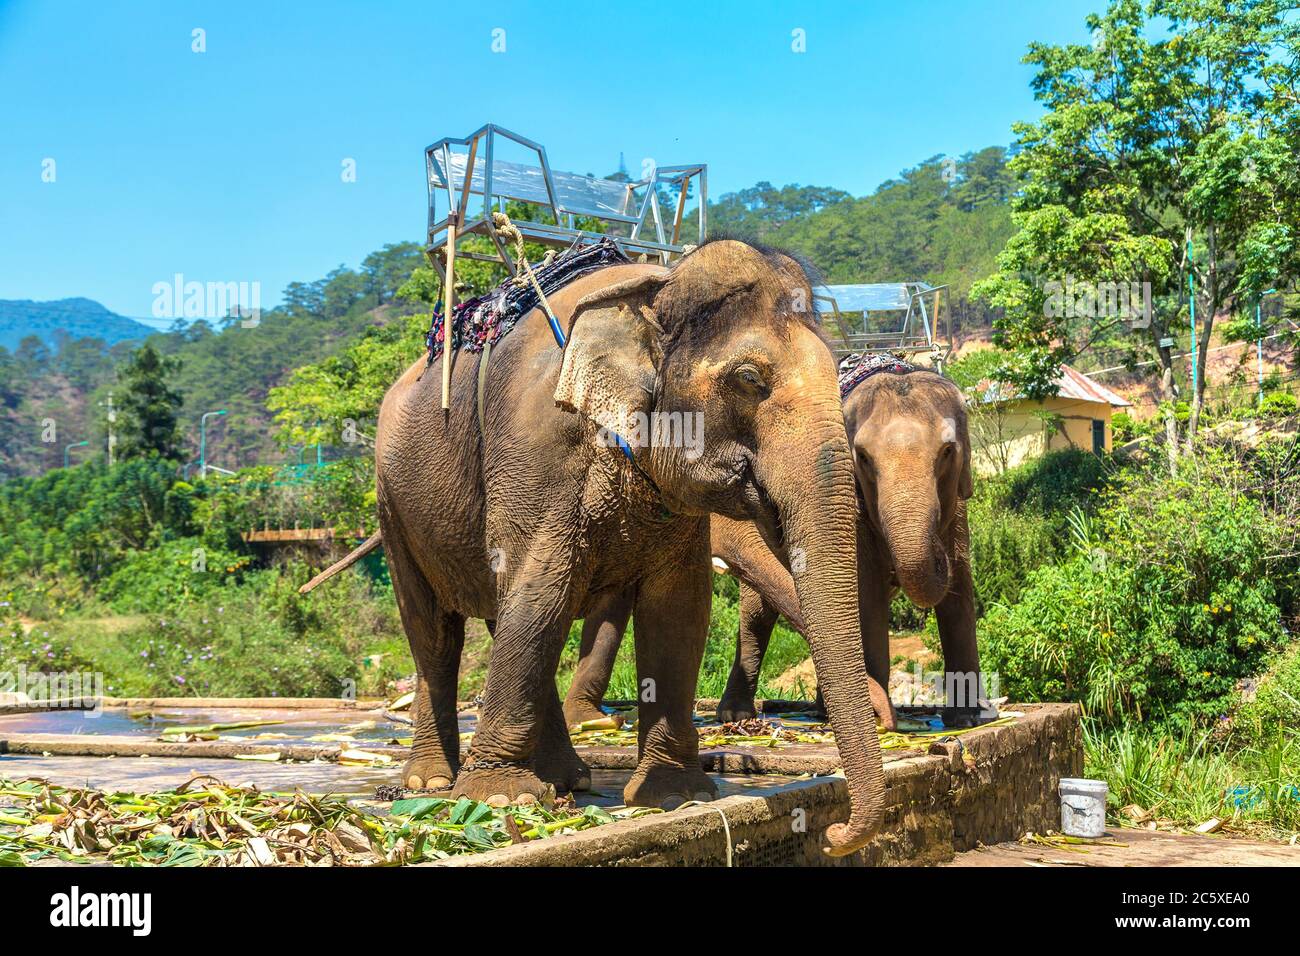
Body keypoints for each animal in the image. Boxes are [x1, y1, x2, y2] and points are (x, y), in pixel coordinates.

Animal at [374, 238, 886, 855]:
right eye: (748, 379)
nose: (833, 833)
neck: (654, 288)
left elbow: (679, 607)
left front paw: (675, 795)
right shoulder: (536, 449)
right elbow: (541, 587)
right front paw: (497, 799)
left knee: (503, 620)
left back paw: (566, 779)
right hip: (392, 506)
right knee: (435, 632)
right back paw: (433, 783)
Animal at [562, 364, 980, 733]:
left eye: (946, 452)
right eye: (862, 457)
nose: (939, 557)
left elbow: (959, 593)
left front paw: (966, 720)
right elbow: (867, 594)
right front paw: (882, 721)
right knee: (756, 616)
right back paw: (740, 716)